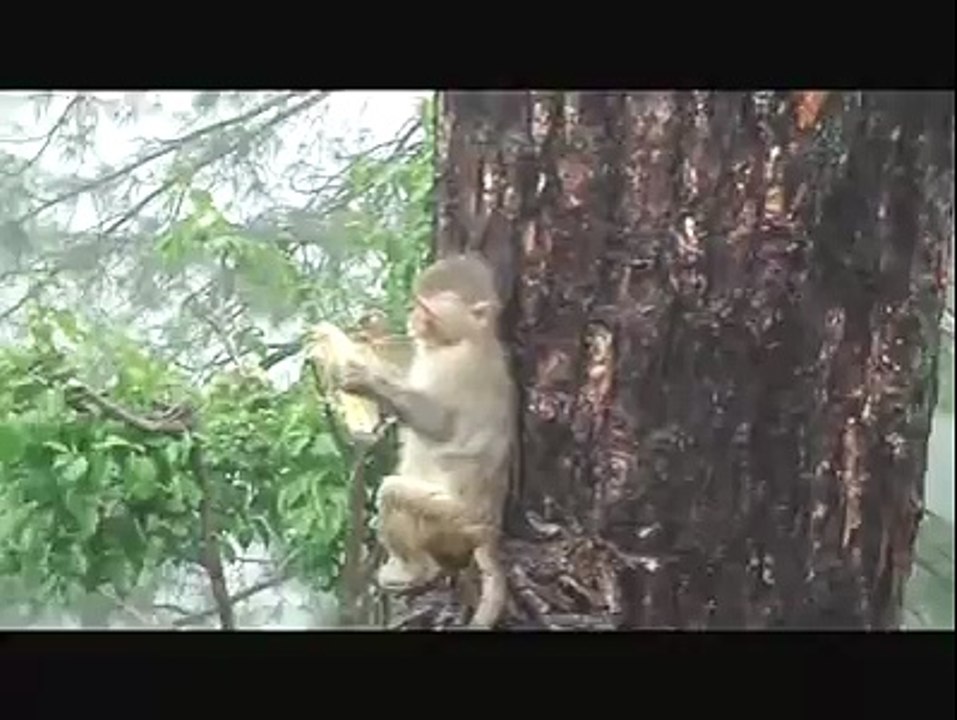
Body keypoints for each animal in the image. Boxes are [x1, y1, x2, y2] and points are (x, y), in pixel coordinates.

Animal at [338, 253, 515, 628]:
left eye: (429, 308)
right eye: (418, 301)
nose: (414, 317)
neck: (464, 337)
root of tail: (486, 529)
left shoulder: (456, 367)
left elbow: (439, 423)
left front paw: (369, 381)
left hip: (453, 520)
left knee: (395, 493)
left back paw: (413, 570)